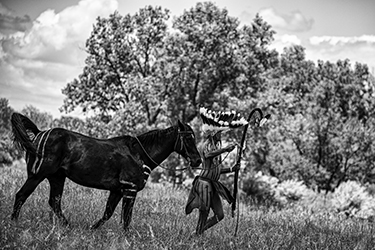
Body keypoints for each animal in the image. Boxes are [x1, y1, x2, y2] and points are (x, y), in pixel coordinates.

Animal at [10, 113, 203, 230]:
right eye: (188, 138)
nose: (198, 160)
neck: (139, 154)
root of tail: (40, 133)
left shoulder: (117, 190)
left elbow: (107, 213)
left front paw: (92, 229)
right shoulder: (130, 189)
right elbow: (126, 218)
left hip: (57, 178)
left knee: (54, 202)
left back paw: (68, 225)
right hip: (37, 175)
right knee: (21, 195)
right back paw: (13, 223)